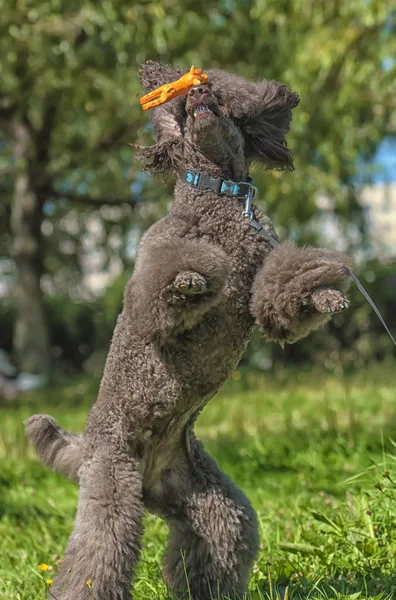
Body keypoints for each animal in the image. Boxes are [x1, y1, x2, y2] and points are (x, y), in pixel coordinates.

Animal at [26, 62, 352, 600]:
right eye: (182, 105)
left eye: (219, 96)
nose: (197, 96)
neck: (219, 199)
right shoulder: (154, 267)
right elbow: (165, 287)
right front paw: (191, 281)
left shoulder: (263, 278)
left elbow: (281, 298)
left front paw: (324, 295)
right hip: (112, 486)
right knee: (96, 554)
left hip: (207, 500)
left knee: (217, 544)